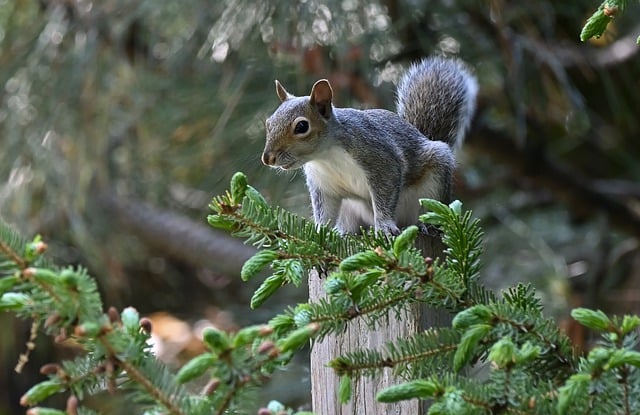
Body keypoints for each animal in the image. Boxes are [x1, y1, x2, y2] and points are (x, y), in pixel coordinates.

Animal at [262, 56, 478, 236]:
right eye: (268, 123)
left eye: (302, 126)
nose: (267, 158)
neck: (326, 157)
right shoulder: (324, 185)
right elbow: (325, 212)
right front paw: (319, 232)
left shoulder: (378, 158)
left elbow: (384, 195)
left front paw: (384, 226)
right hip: (349, 209)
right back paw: (344, 233)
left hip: (434, 185)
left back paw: (427, 225)